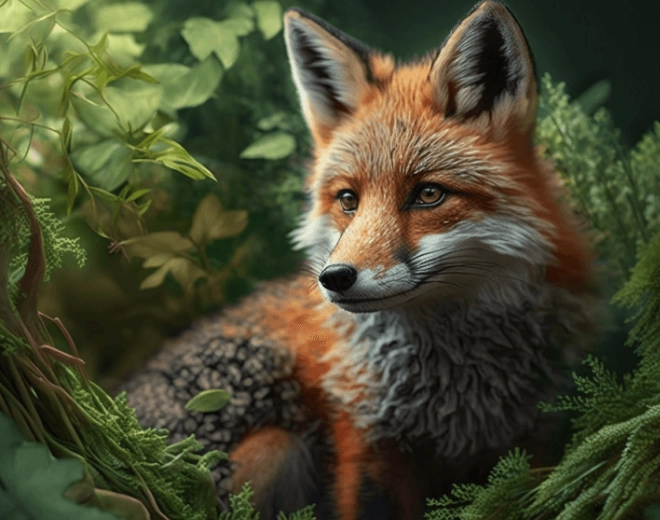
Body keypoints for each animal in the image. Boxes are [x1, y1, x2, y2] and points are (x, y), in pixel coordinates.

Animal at [121, 2, 596, 519]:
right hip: (274, 450)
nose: (335, 278)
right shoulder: (365, 439)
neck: (458, 390)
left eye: (429, 194)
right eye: (348, 199)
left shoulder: (532, 433)